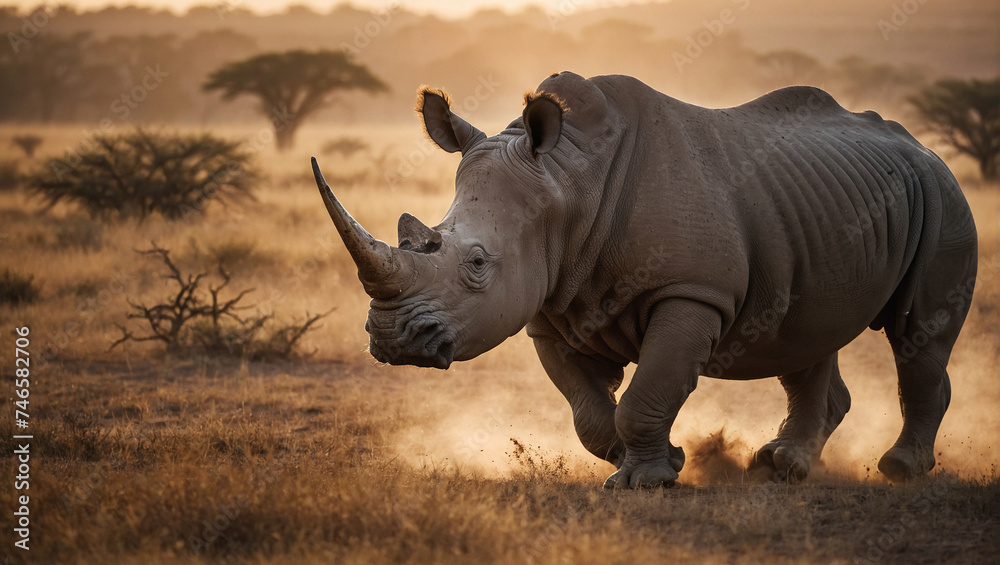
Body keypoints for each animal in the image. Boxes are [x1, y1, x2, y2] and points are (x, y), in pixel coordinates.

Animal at [312, 72, 977, 488]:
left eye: (476, 264)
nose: (392, 340)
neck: (567, 183)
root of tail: (923, 146)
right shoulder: (548, 307)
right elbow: (589, 412)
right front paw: (666, 461)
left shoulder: (693, 292)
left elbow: (648, 390)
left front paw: (645, 481)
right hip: (817, 208)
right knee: (804, 333)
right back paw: (780, 467)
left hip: (942, 196)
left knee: (918, 334)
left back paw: (898, 470)